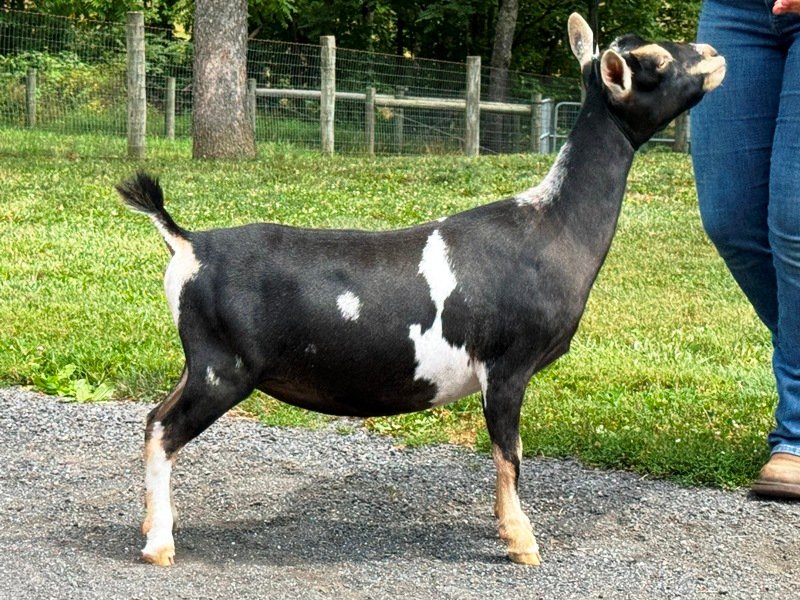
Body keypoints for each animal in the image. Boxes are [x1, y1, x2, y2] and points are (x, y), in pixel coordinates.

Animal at [116, 13, 725, 567]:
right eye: (656, 62)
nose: (713, 53)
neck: (550, 227)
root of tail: (188, 242)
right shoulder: (507, 367)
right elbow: (510, 455)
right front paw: (521, 543)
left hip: (199, 364)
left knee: (152, 419)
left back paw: (152, 524)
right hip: (223, 369)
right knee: (164, 431)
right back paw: (159, 545)